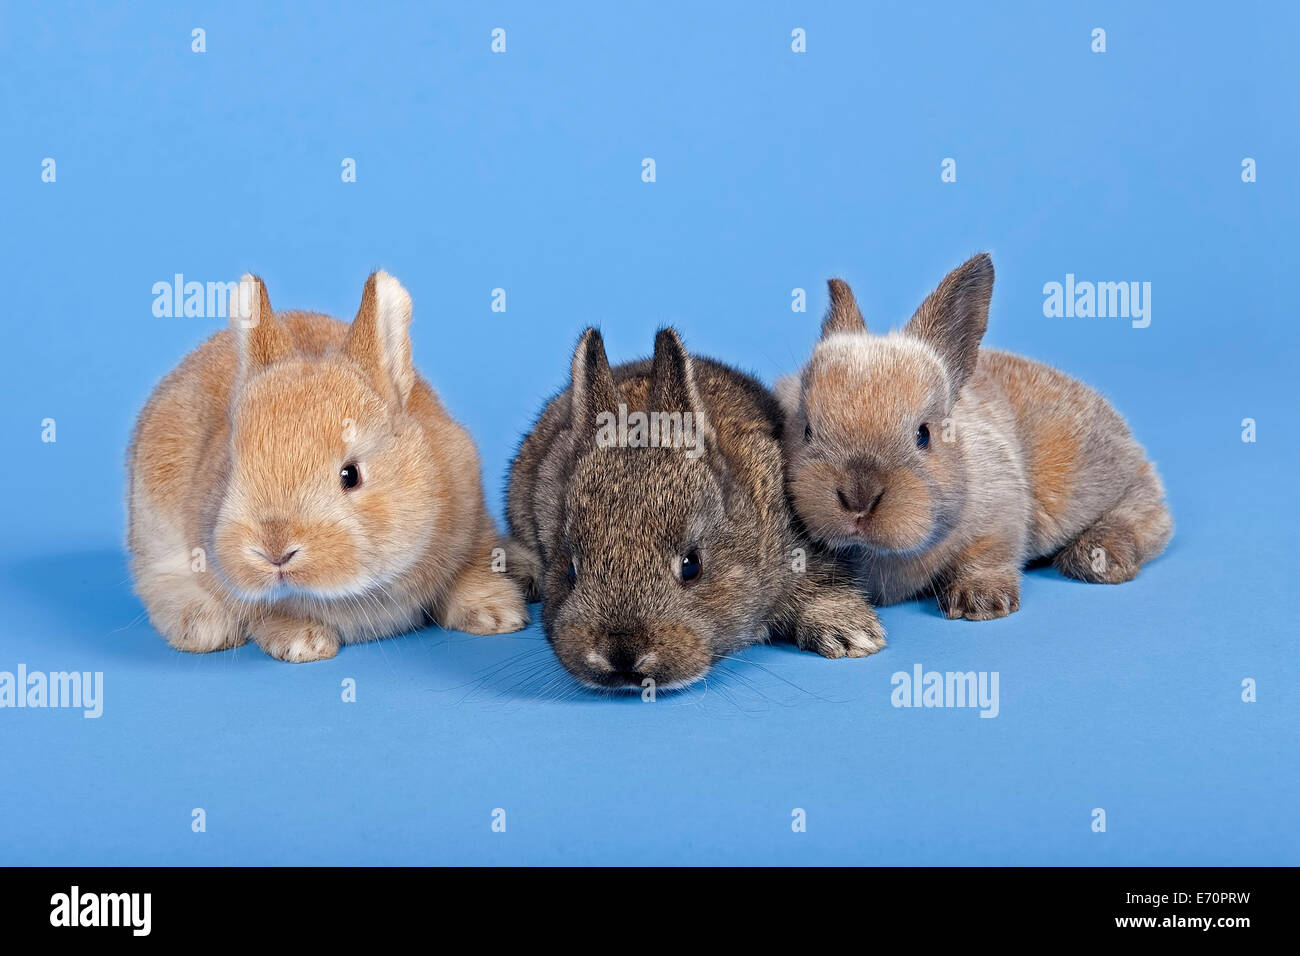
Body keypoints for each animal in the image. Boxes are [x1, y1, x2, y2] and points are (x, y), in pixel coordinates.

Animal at [126, 271, 527, 662]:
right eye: (231, 469)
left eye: (351, 475)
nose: (275, 550)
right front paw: (303, 642)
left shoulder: (471, 524)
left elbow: (472, 570)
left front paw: (498, 614)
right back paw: (203, 627)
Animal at [776, 252, 1173, 621]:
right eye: (807, 430)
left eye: (924, 435)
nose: (858, 499)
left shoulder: (1003, 511)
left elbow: (989, 552)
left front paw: (980, 601)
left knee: (1152, 511)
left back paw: (1098, 556)